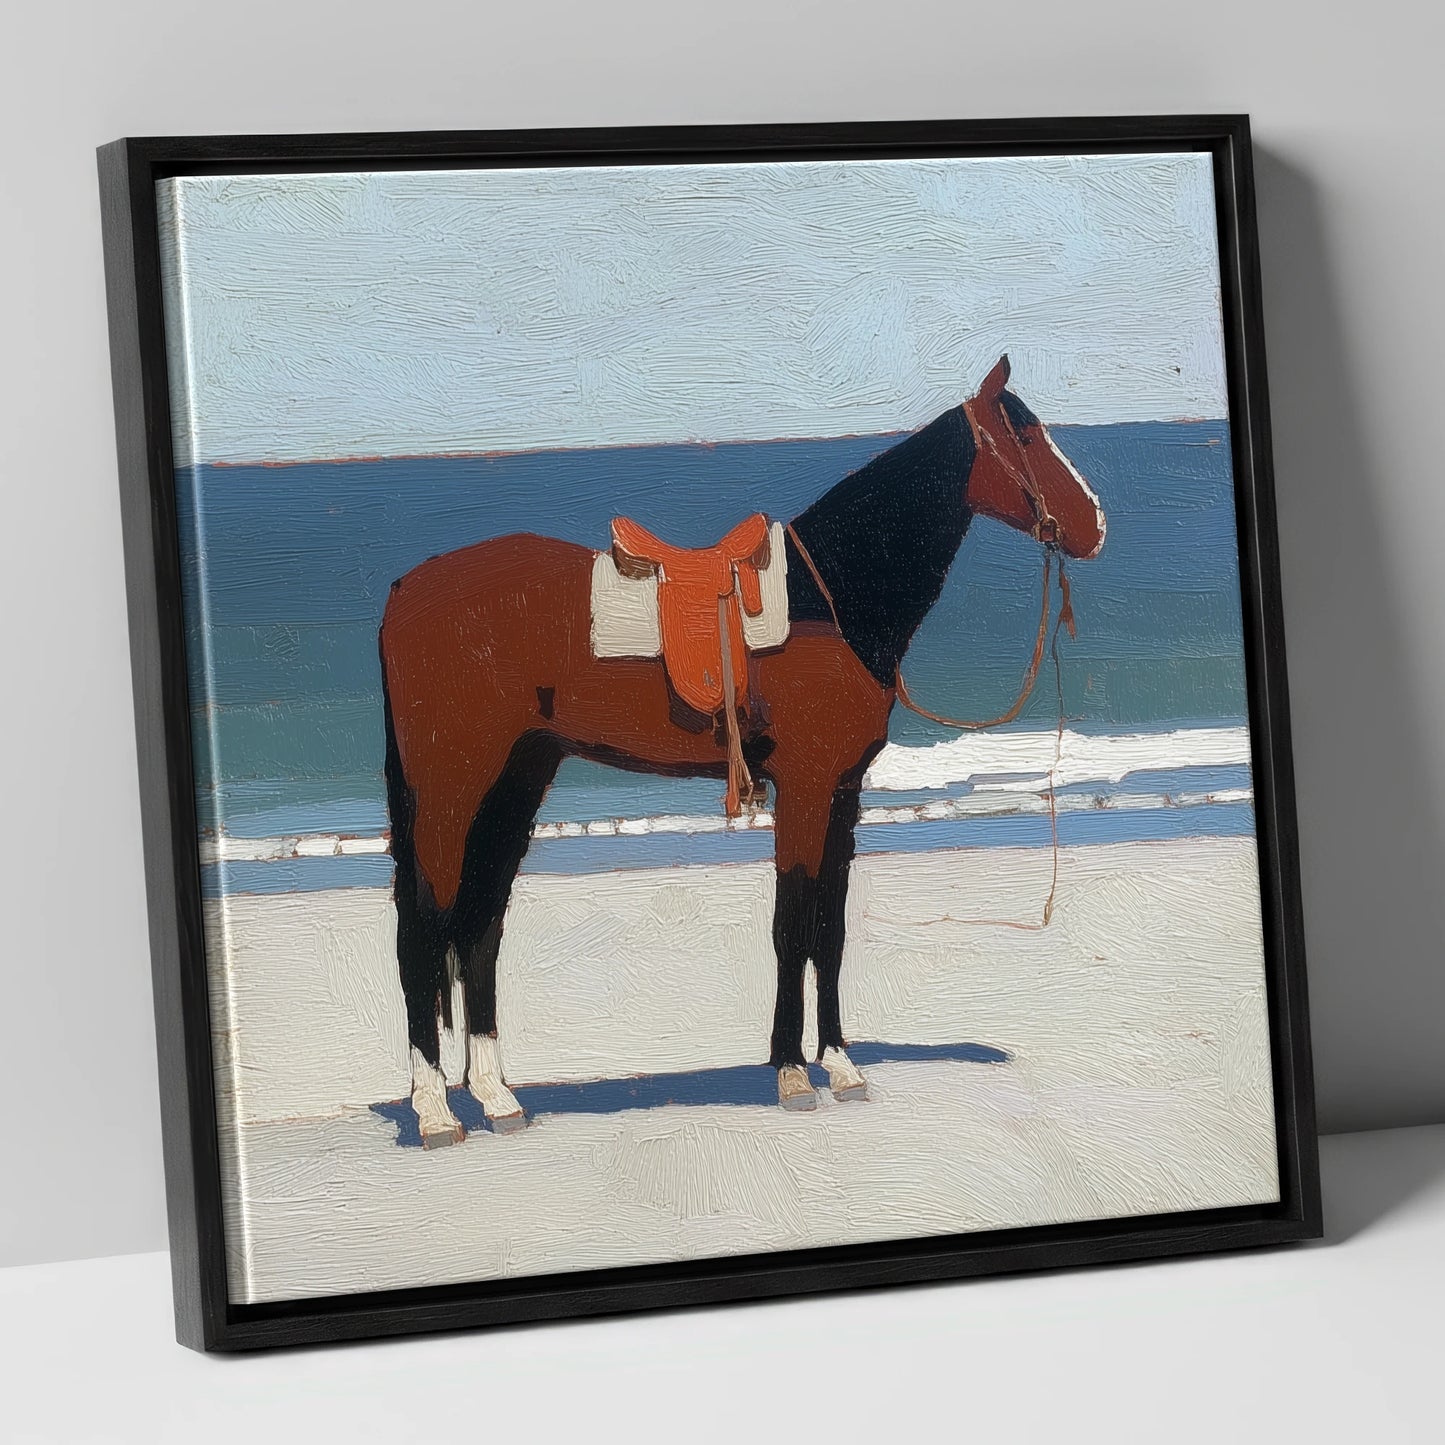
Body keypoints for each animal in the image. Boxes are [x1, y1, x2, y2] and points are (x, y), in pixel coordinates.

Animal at [379, 355, 1105, 1146]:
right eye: (1026, 434)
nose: (1095, 524)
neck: (832, 597)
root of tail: (406, 591)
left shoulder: (842, 792)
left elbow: (829, 925)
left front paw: (840, 1063)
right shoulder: (807, 786)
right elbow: (793, 923)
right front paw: (791, 1072)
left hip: (518, 777)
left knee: (480, 923)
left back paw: (495, 1095)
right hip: (451, 786)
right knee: (426, 923)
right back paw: (434, 1107)